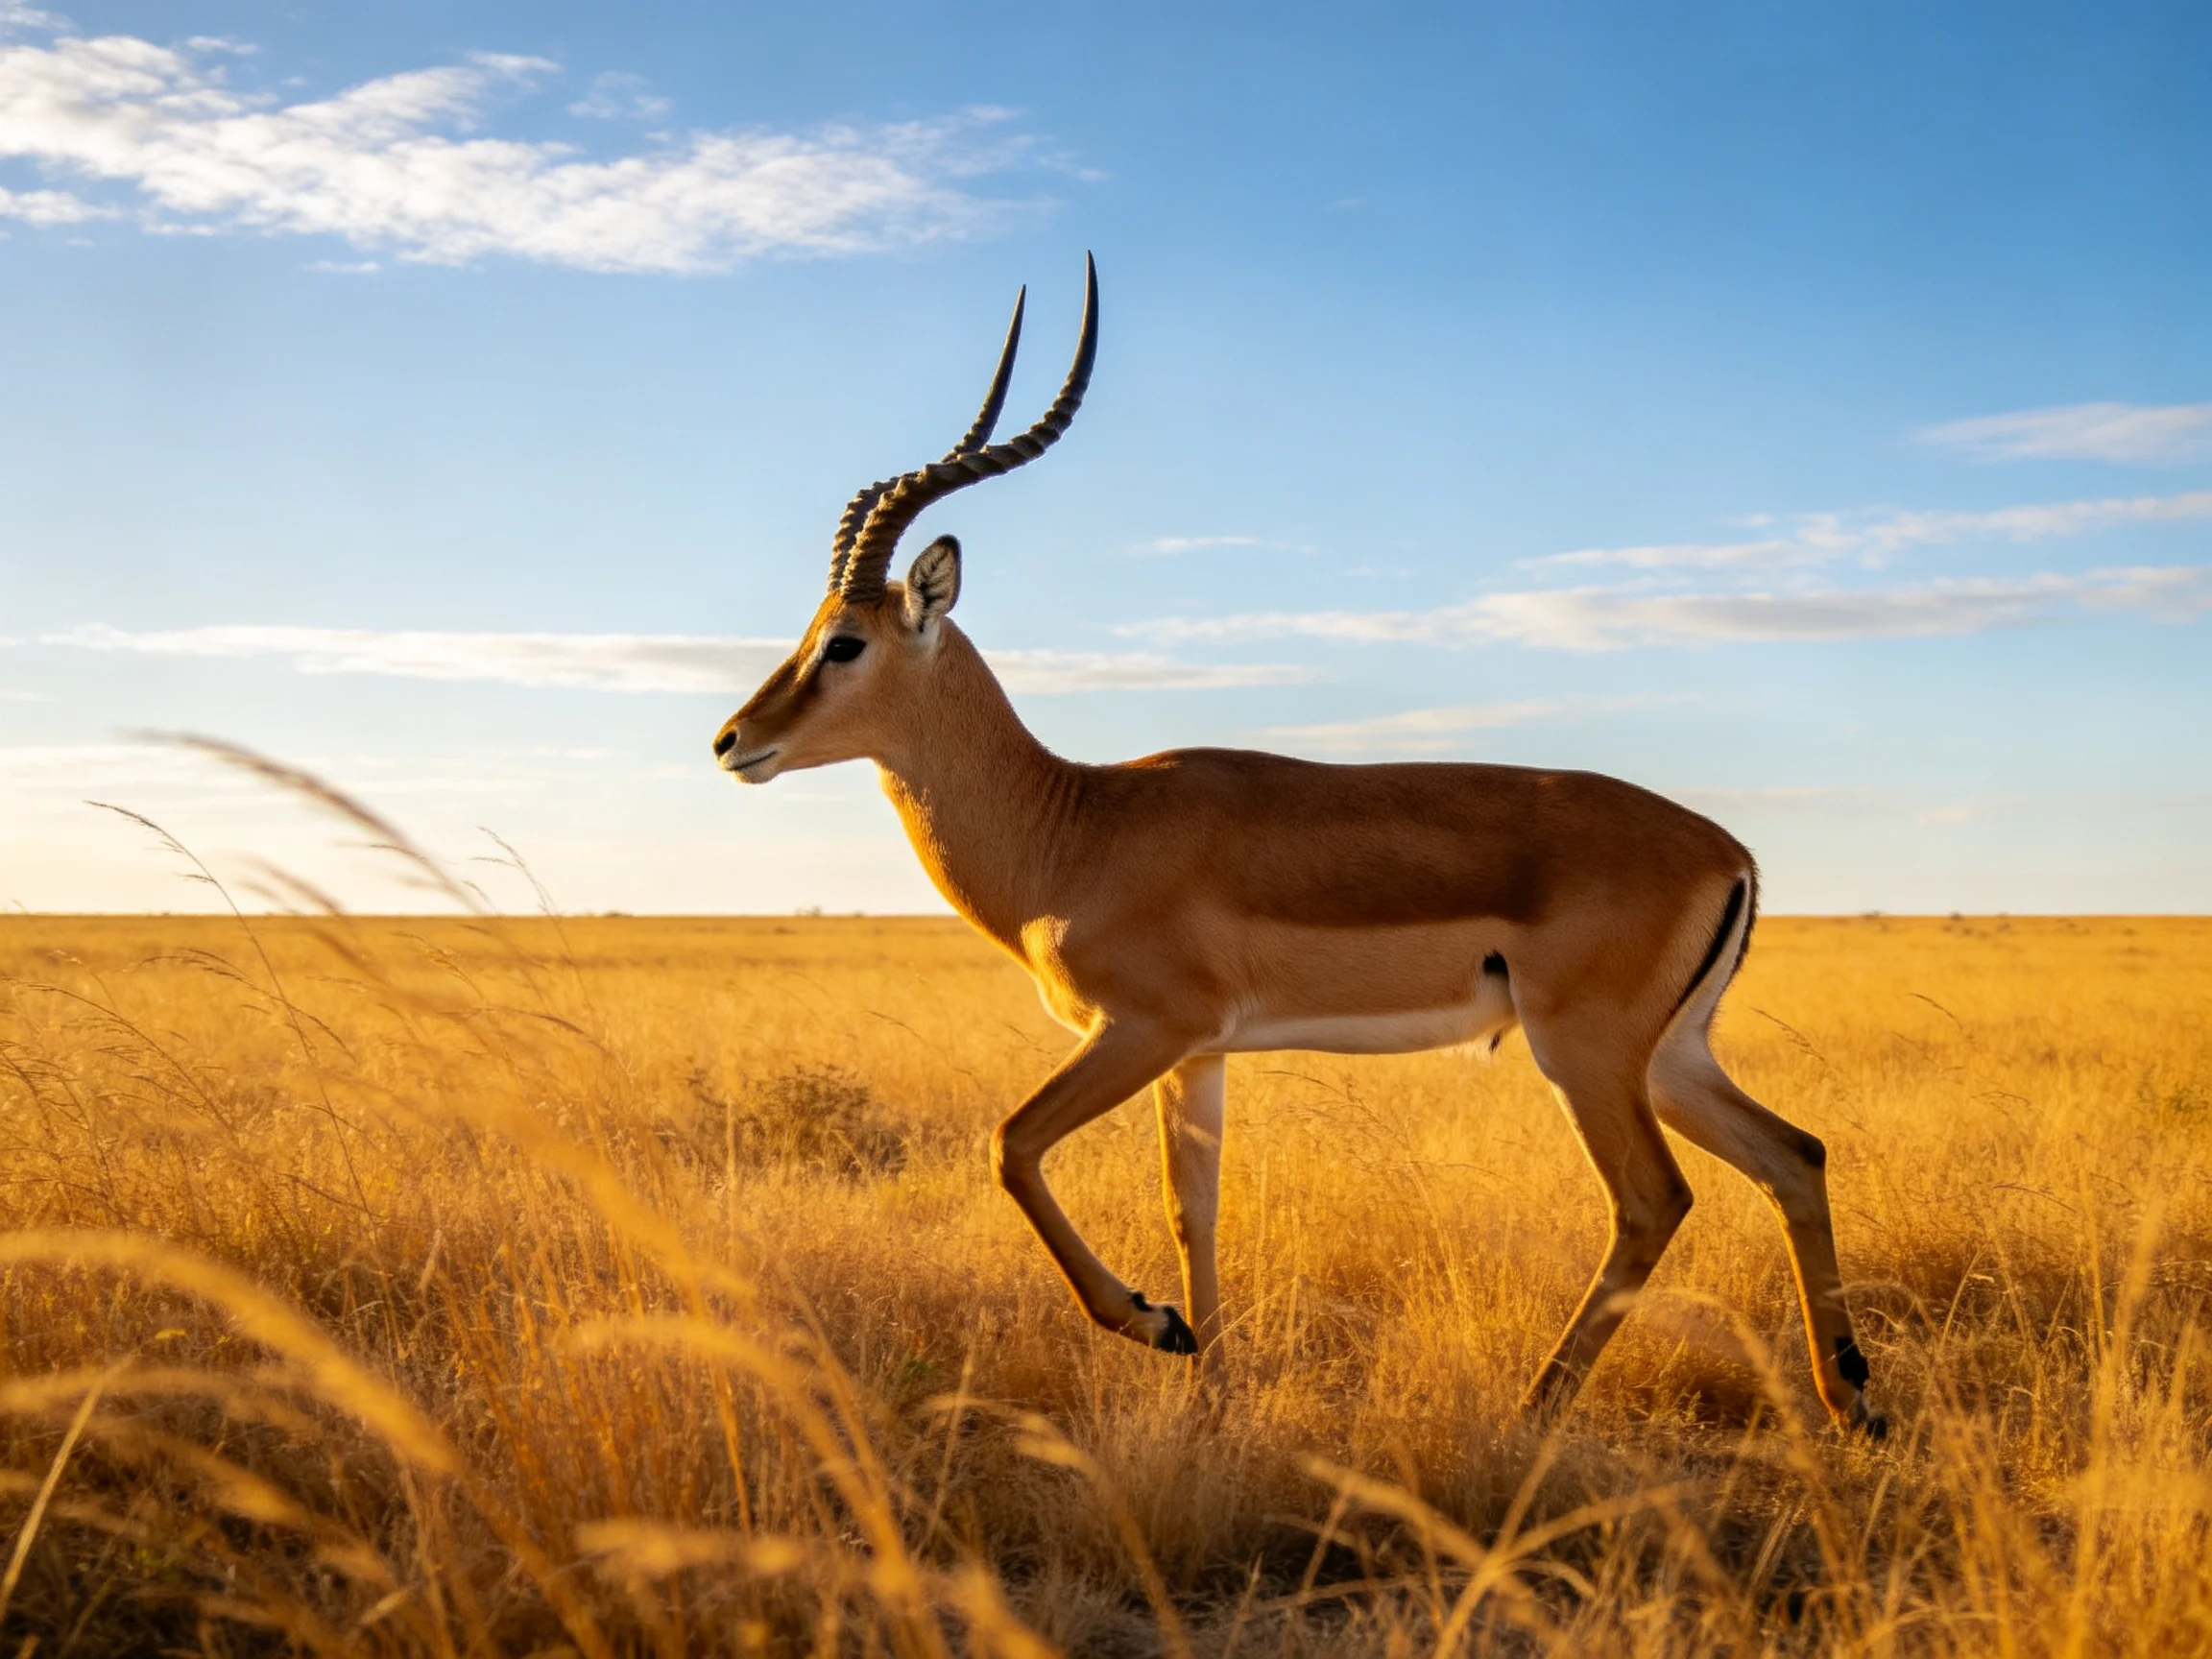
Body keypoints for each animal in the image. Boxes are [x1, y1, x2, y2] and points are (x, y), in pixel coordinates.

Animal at [714, 257, 1883, 1433]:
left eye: (843, 643)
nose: (731, 741)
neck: (1075, 828)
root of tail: (1728, 853)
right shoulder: (1199, 1053)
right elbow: (1193, 1209)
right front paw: (1209, 1388)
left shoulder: (1143, 1029)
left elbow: (1011, 1145)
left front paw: (1153, 1325)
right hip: (1672, 1056)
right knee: (1795, 1154)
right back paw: (1851, 1402)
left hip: (1586, 1054)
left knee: (1654, 1200)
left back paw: (1534, 1410)